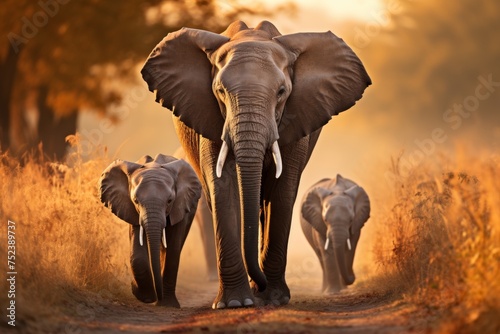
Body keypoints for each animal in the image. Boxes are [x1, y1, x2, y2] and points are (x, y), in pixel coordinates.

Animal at [142, 20, 372, 308]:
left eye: (282, 92)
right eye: (220, 91)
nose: (260, 287)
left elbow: (283, 190)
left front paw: (274, 298)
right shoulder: (211, 118)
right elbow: (224, 188)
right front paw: (235, 303)